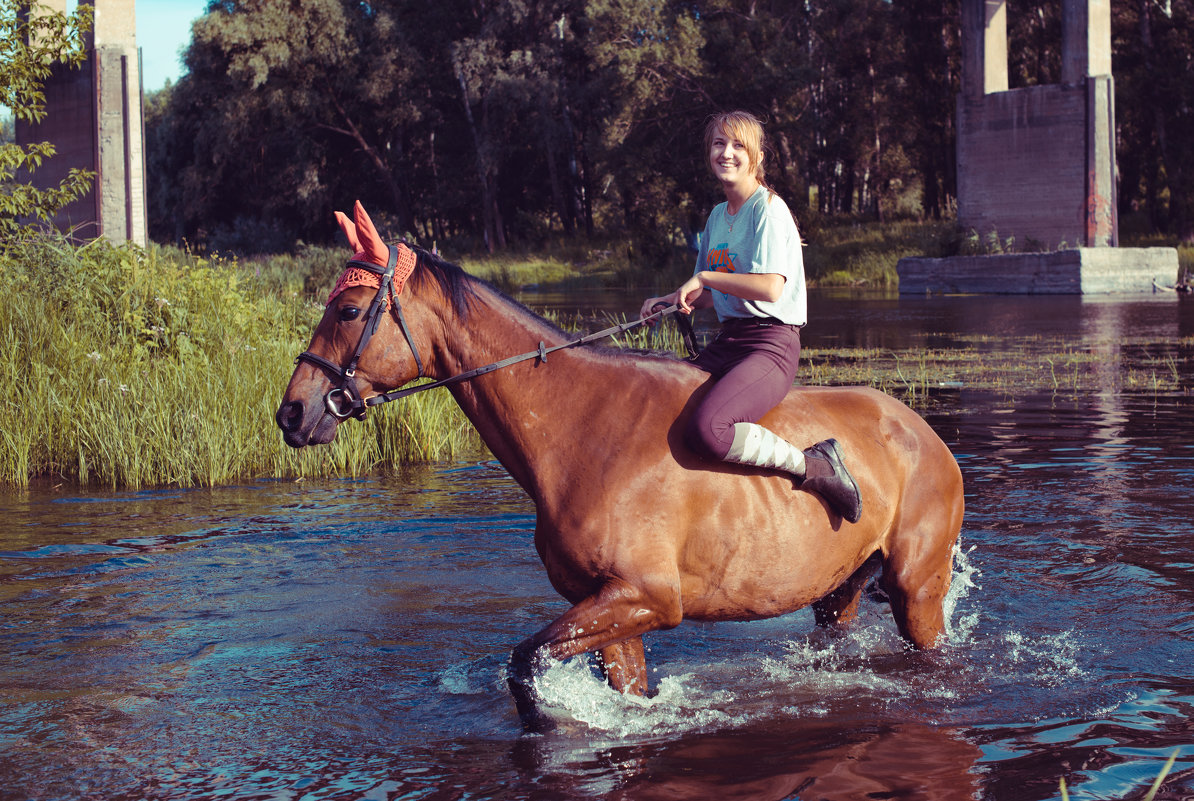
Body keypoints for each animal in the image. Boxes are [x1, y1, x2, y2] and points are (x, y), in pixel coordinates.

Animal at [274, 204, 964, 730]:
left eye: (349, 311)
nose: (292, 412)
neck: (579, 428)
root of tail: (921, 430)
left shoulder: (648, 596)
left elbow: (524, 664)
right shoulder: (610, 608)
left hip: (917, 589)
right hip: (837, 592)